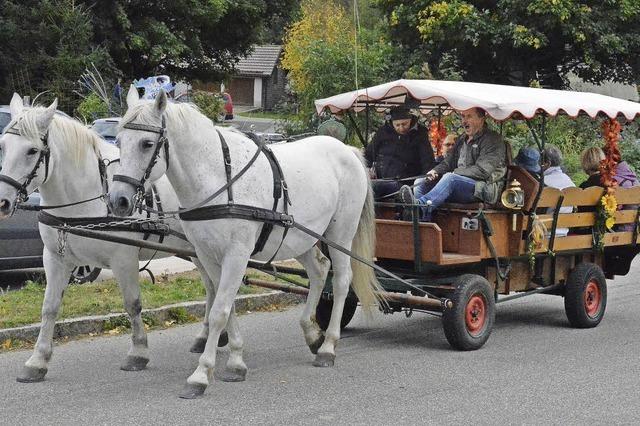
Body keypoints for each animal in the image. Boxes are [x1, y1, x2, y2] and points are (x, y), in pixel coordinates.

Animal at [0, 95, 240, 382]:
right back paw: (207, 337)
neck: (87, 195)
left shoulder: (123, 259)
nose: (2, 202)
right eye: (3, 146)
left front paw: (138, 352)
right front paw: (37, 360)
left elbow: (132, 304)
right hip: (199, 249)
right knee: (212, 286)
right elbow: (49, 307)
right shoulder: (55, 259)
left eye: (32, 151)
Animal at [109, 87, 384, 400]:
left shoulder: (237, 255)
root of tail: (347, 149)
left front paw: (201, 374)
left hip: (340, 235)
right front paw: (236, 362)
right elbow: (224, 305)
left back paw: (328, 346)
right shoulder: (207, 256)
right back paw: (312, 333)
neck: (218, 178)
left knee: (340, 281)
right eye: (118, 141)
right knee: (318, 272)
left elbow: (219, 310)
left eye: (146, 143)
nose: (117, 200)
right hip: (301, 237)